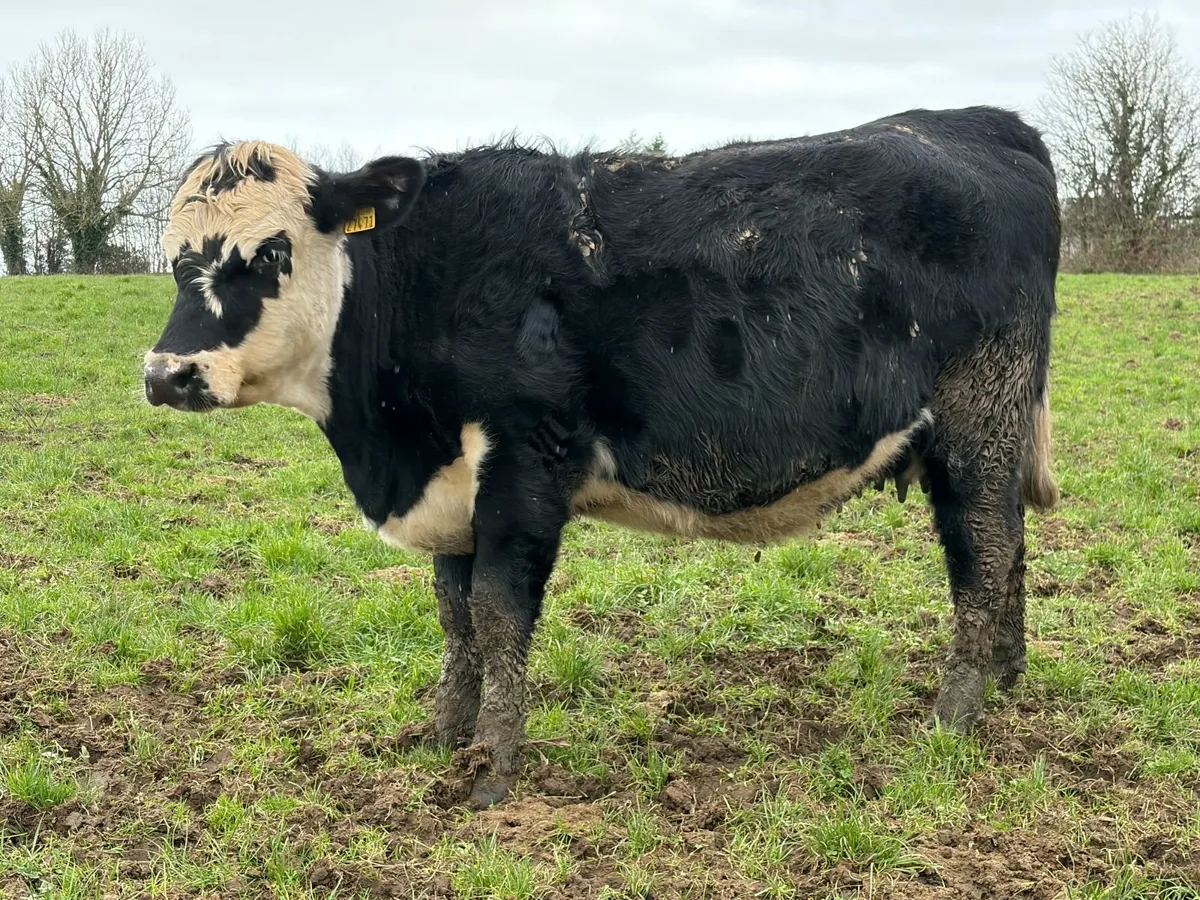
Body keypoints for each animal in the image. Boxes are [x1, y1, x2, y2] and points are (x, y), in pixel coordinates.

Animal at [142, 105, 1061, 808]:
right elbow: (453, 619)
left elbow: (496, 615)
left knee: (983, 552)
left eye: (270, 252)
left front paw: (492, 767)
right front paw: (443, 738)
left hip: (978, 416)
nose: (168, 374)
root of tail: (980, 122)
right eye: (174, 259)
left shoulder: (523, 467)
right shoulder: (452, 493)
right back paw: (1008, 677)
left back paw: (955, 714)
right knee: (1011, 543)